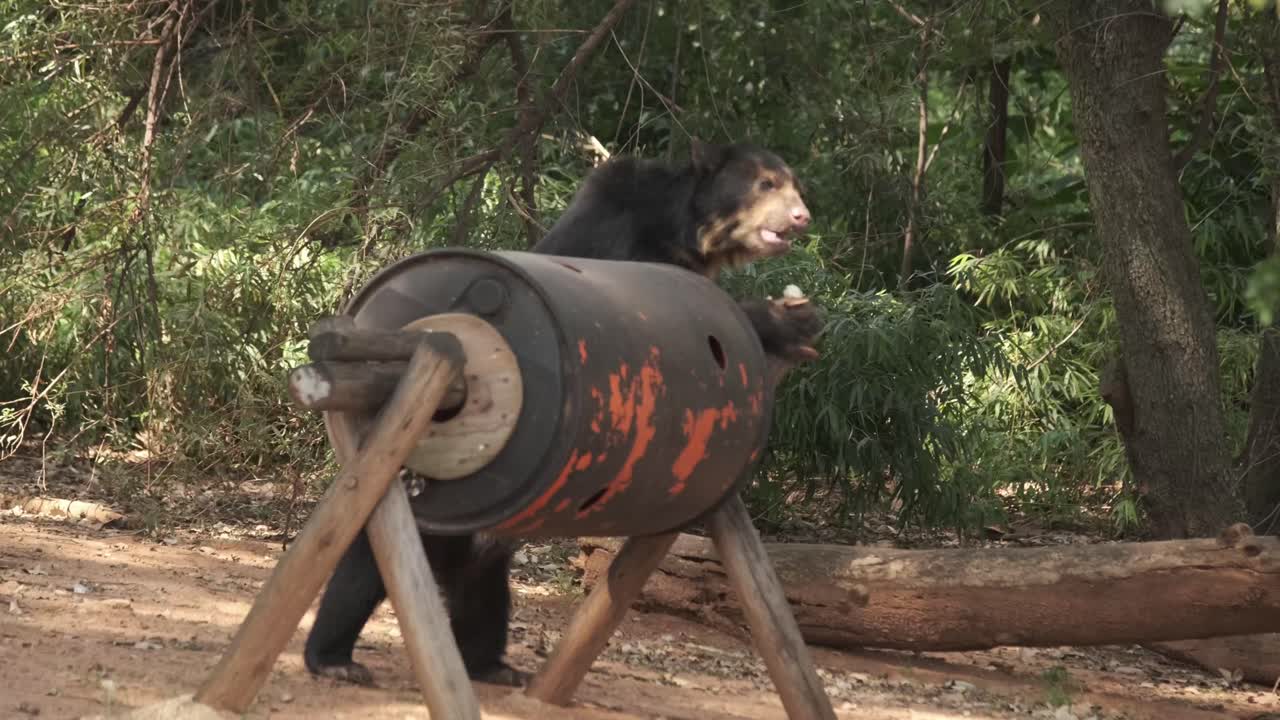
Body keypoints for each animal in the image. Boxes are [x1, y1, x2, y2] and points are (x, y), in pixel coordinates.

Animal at [303, 137, 822, 690]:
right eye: (765, 184)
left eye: (794, 185)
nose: (801, 217)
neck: (687, 231)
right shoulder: (624, 247)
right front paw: (783, 318)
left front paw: (799, 317)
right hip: (404, 500)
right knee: (364, 567)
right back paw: (335, 658)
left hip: (484, 550)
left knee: (485, 596)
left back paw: (493, 665)